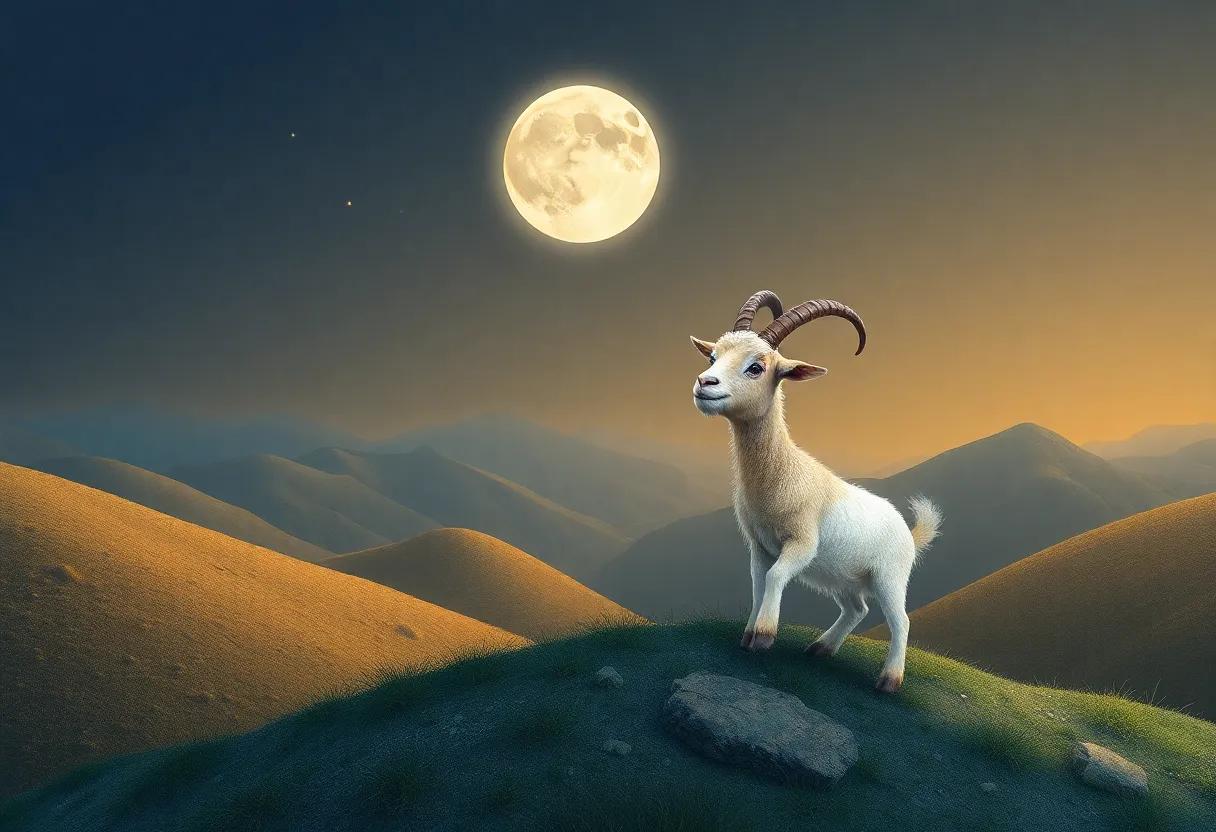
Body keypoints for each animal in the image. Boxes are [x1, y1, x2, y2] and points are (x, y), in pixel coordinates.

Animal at [690, 290, 941, 692]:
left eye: (756, 367)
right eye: (713, 357)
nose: (704, 383)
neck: (783, 473)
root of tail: (910, 532)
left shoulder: (802, 543)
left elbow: (776, 576)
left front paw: (763, 637)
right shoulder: (759, 546)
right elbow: (758, 583)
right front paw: (748, 636)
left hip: (889, 576)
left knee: (900, 620)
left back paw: (889, 681)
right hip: (845, 579)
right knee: (857, 608)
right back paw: (820, 648)